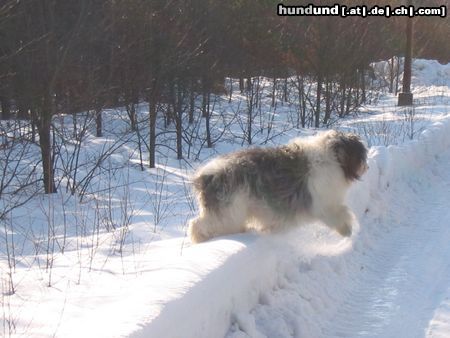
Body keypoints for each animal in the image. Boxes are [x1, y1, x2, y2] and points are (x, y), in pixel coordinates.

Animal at [188, 129, 368, 243]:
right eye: (361, 156)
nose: (367, 167)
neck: (333, 157)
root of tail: (204, 175)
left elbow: (342, 210)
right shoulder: (323, 204)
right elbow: (338, 215)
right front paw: (346, 230)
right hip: (227, 213)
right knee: (197, 225)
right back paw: (200, 239)